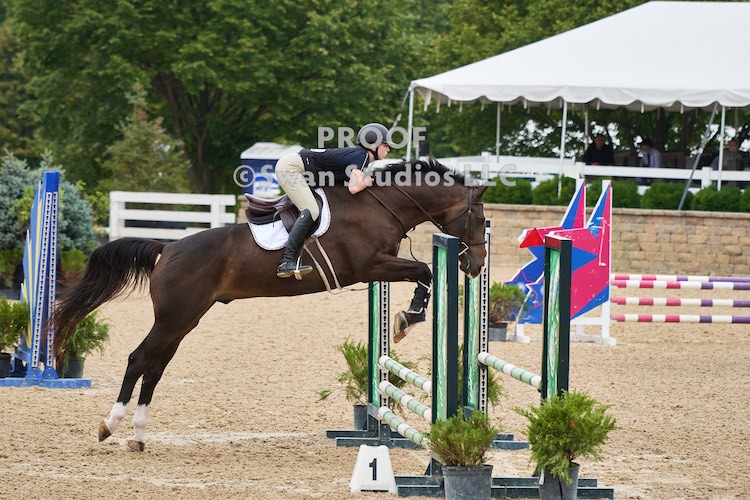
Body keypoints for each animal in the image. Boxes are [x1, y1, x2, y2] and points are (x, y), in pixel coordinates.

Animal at [54, 158, 488, 452]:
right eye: (480, 218)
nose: (475, 265)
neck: (382, 203)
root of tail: (168, 247)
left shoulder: (378, 267)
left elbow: (422, 273)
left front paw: (405, 318)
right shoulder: (370, 265)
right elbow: (425, 270)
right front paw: (407, 318)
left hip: (183, 322)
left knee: (156, 369)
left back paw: (139, 436)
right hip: (173, 319)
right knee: (138, 360)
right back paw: (109, 425)